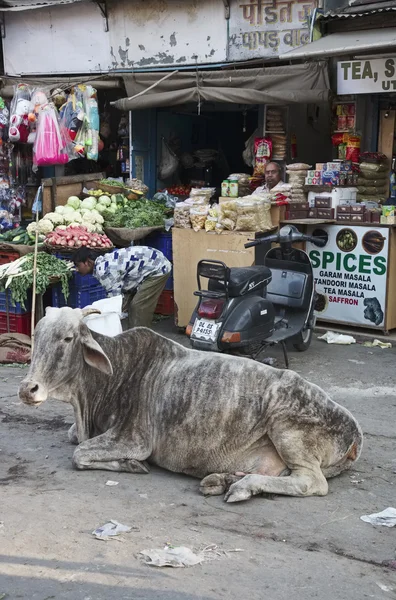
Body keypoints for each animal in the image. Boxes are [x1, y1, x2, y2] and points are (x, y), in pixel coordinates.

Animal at [20, 308, 364, 504]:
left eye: (67, 338)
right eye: (36, 334)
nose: (28, 389)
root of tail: (355, 431)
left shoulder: (134, 439)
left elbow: (79, 453)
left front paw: (131, 465)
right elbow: (73, 438)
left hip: (286, 429)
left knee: (311, 482)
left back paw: (242, 486)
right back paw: (223, 481)